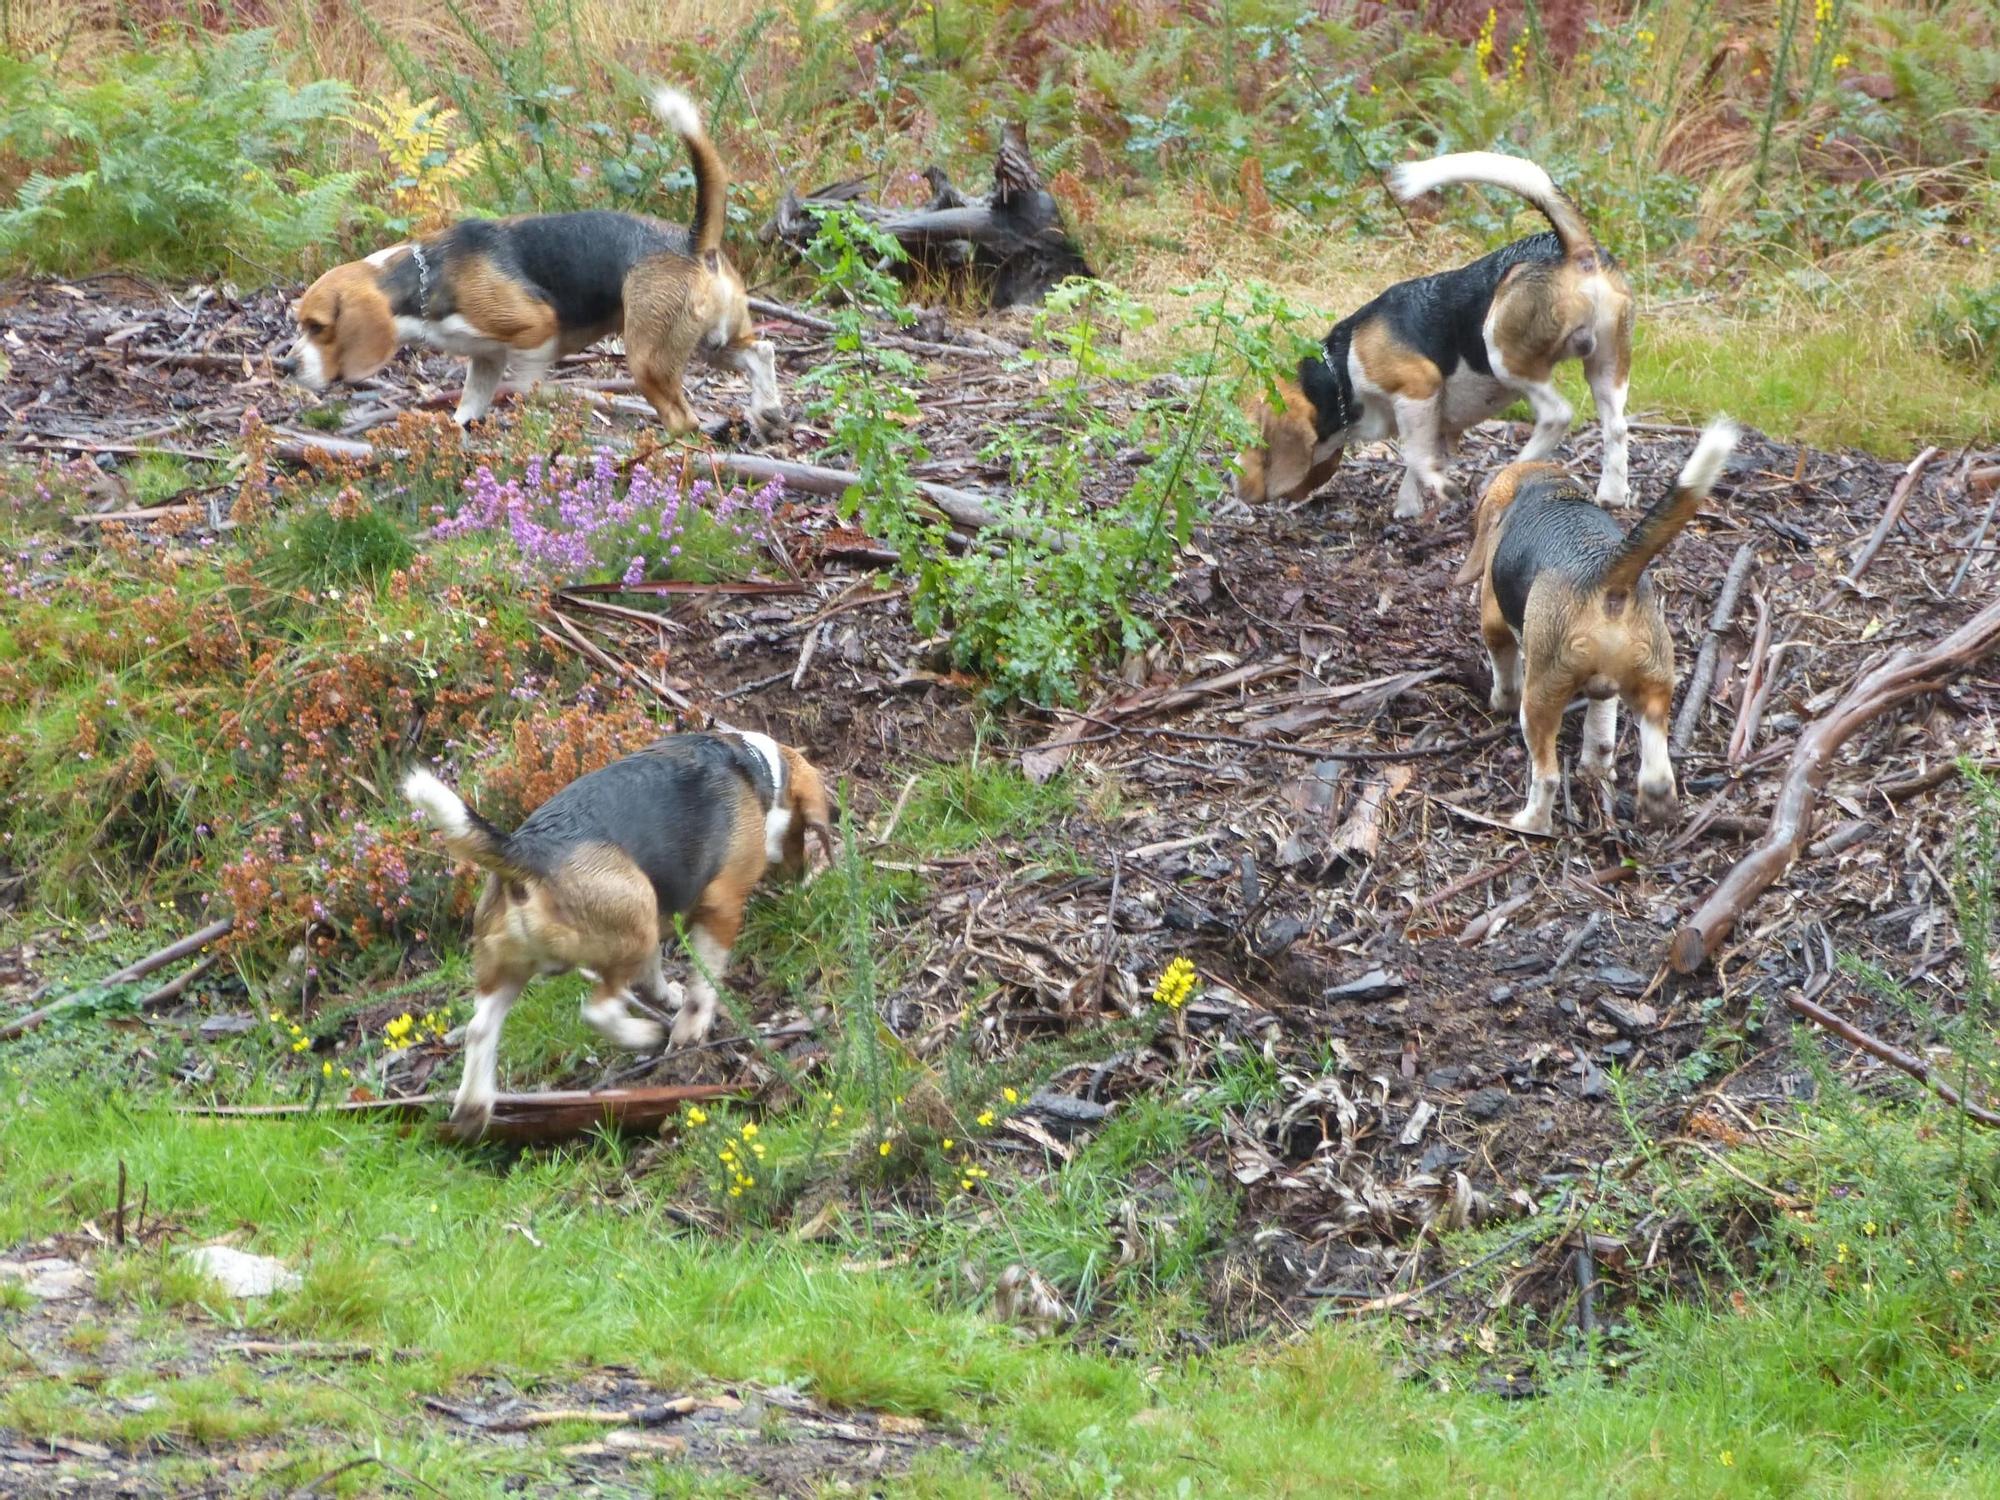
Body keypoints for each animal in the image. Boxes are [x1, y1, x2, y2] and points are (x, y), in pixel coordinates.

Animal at [290, 87, 780, 440]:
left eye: (318, 326)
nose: (288, 367)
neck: (426, 276)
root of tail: (691, 241)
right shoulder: (485, 358)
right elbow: (469, 404)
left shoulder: (535, 328)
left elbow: (526, 377)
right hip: (710, 341)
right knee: (762, 352)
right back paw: (768, 410)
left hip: (648, 359)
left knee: (684, 420)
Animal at [406, 732, 828, 1136]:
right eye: (803, 832)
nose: (799, 877)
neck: (756, 768)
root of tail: (525, 850)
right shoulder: (721, 907)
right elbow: (702, 985)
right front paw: (690, 1025)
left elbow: (655, 974)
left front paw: (668, 997)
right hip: (633, 927)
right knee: (597, 1011)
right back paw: (644, 1034)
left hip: (510, 965)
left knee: (480, 1029)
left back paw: (473, 1109)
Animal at [1232, 150, 1640, 520]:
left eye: (1250, 436)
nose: (1231, 479)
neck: (1341, 368)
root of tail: (1575, 250)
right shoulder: (1435, 421)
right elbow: (1420, 456)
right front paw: (1408, 506)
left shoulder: (1418, 388)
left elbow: (1414, 454)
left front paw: (1439, 489)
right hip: (1607, 365)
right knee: (1616, 427)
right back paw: (1612, 492)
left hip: (1502, 351)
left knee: (1557, 415)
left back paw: (1505, 473)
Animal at [1456, 420, 1736, 836]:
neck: (1549, 489)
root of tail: (1605, 573)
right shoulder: (1605, 687)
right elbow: (1601, 724)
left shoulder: (1494, 621)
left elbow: (1503, 670)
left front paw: (1498, 700)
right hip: (1653, 676)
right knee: (1654, 761)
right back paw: (1652, 800)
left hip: (1541, 697)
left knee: (1547, 775)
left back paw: (1530, 822)